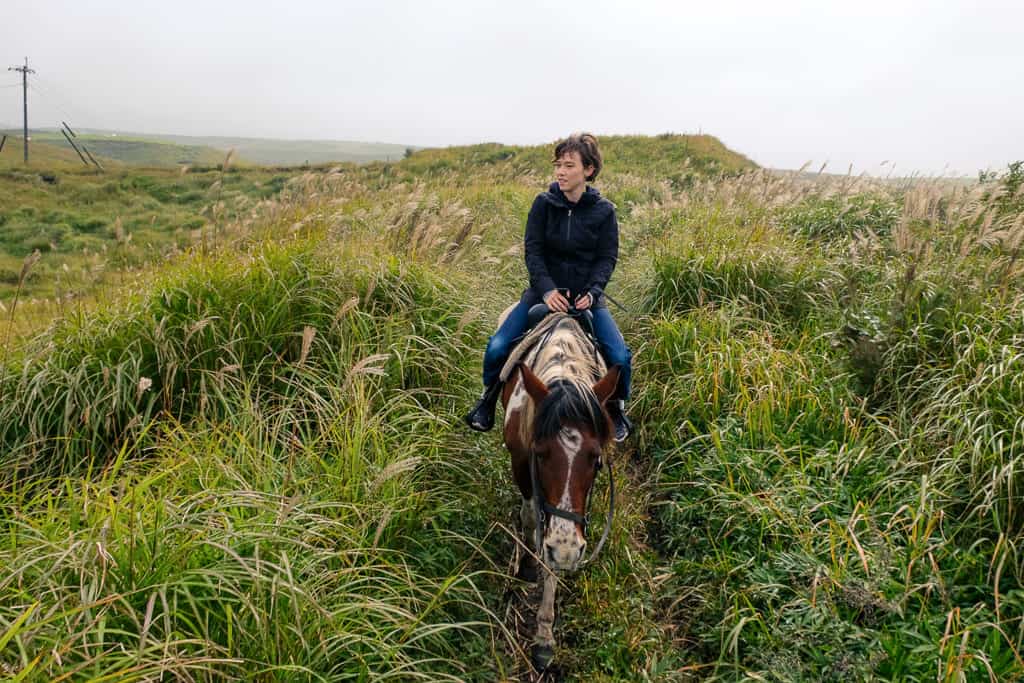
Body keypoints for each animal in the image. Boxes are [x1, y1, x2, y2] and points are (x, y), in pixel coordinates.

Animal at [493, 309, 614, 671]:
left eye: (596, 460)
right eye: (540, 453)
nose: (566, 552)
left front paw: (545, 636)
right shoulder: (521, 463)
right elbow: (532, 519)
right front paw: (527, 566)